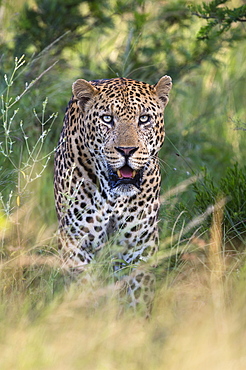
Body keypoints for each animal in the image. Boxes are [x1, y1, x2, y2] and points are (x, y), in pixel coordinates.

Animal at [54, 76, 172, 314]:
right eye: (107, 119)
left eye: (144, 119)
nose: (126, 150)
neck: (114, 198)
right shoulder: (76, 241)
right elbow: (84, 287)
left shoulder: (139, 244)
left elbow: (138, 294)